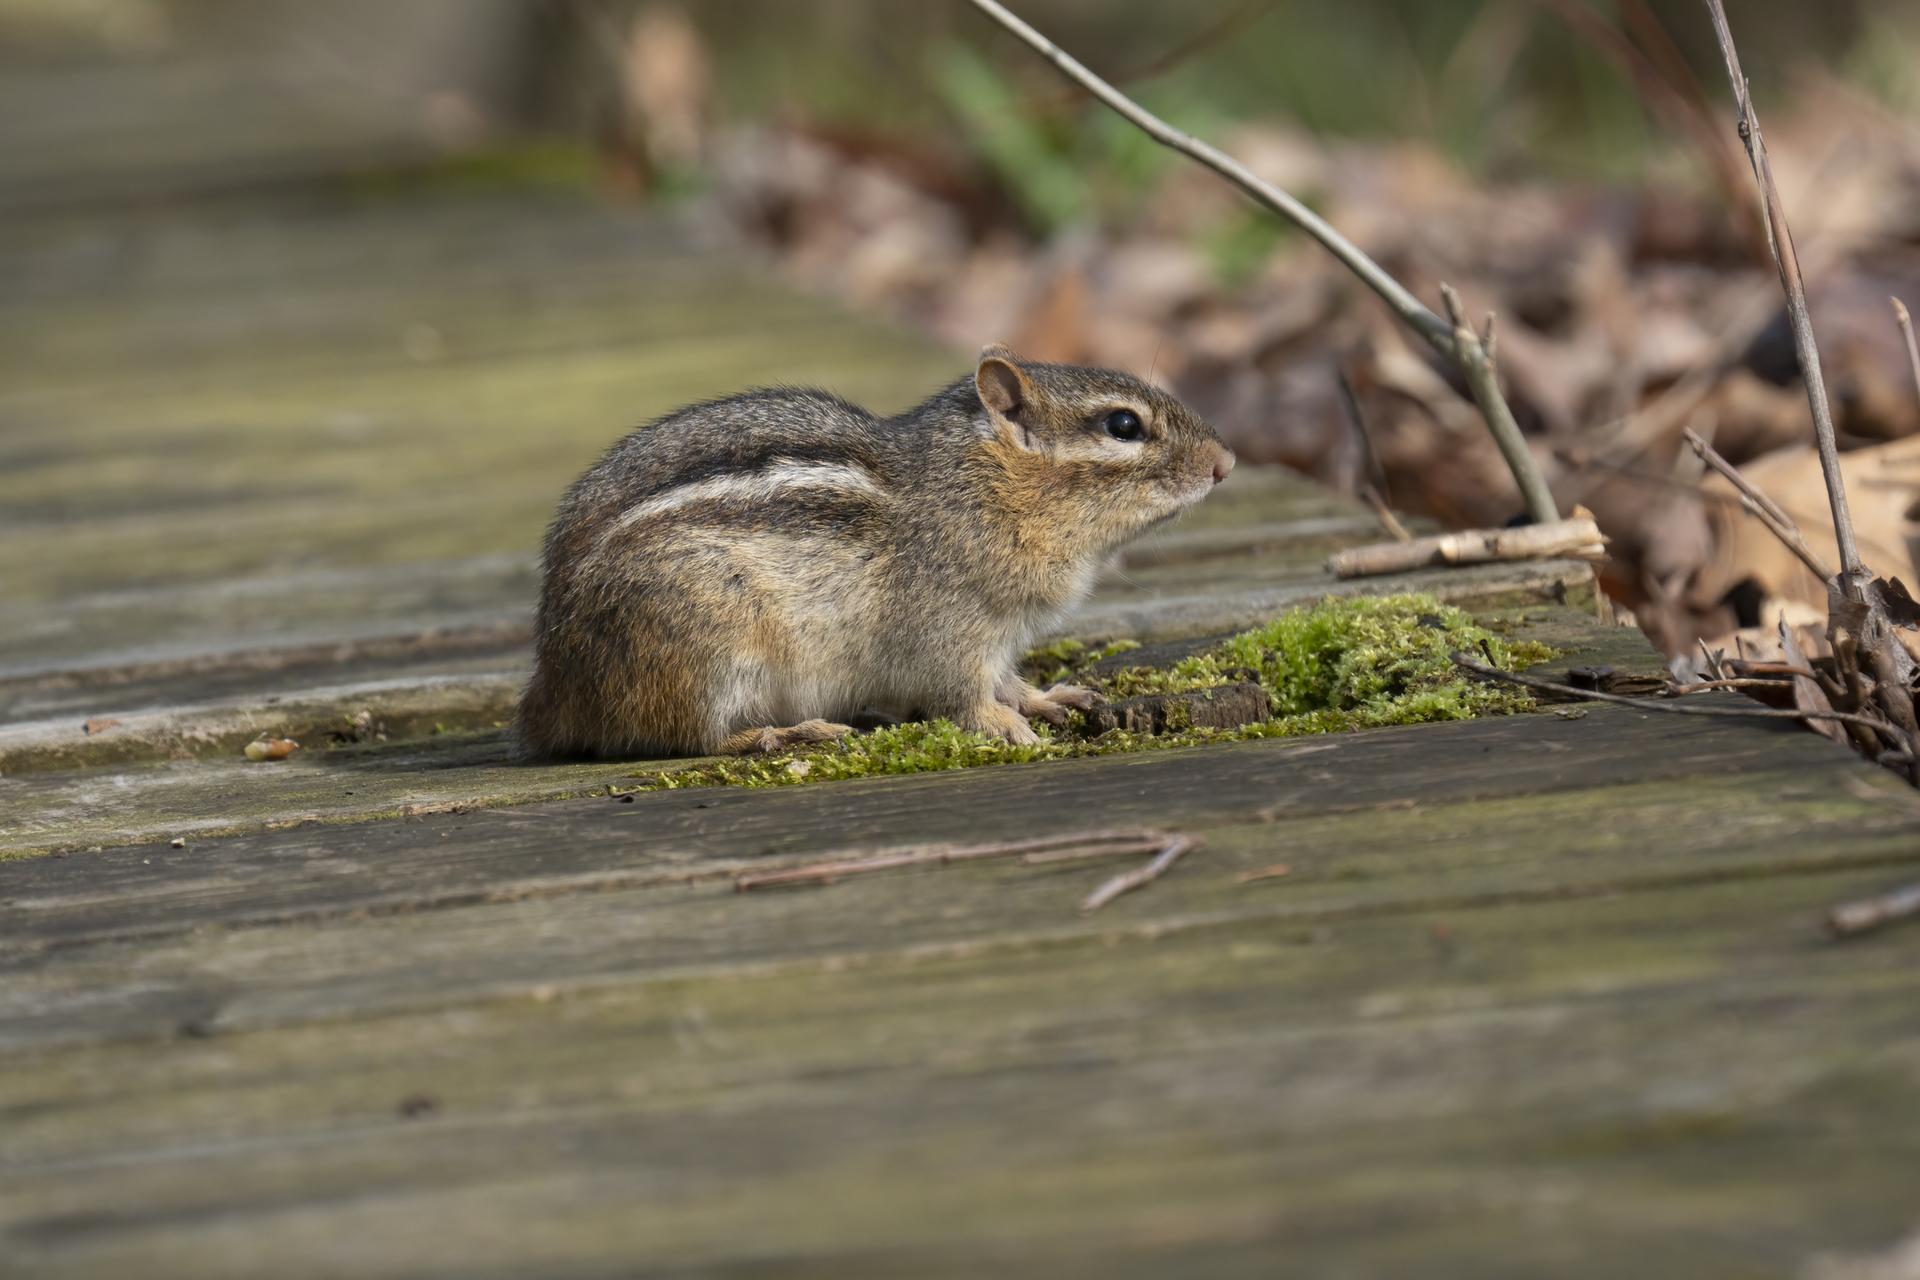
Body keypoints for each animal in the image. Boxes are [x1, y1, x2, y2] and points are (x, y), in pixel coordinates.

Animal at [513, 344, 1235, 760]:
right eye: (1124, 425)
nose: (1226, 463)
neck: (978, 486)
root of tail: (555, 681)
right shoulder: (951, 628)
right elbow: (964, 693)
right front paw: (1005, 726)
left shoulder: (1001, 633)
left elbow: (1007, 678)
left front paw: (1043, 697)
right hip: (706, 646)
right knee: (695, 738)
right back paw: (789, 732)